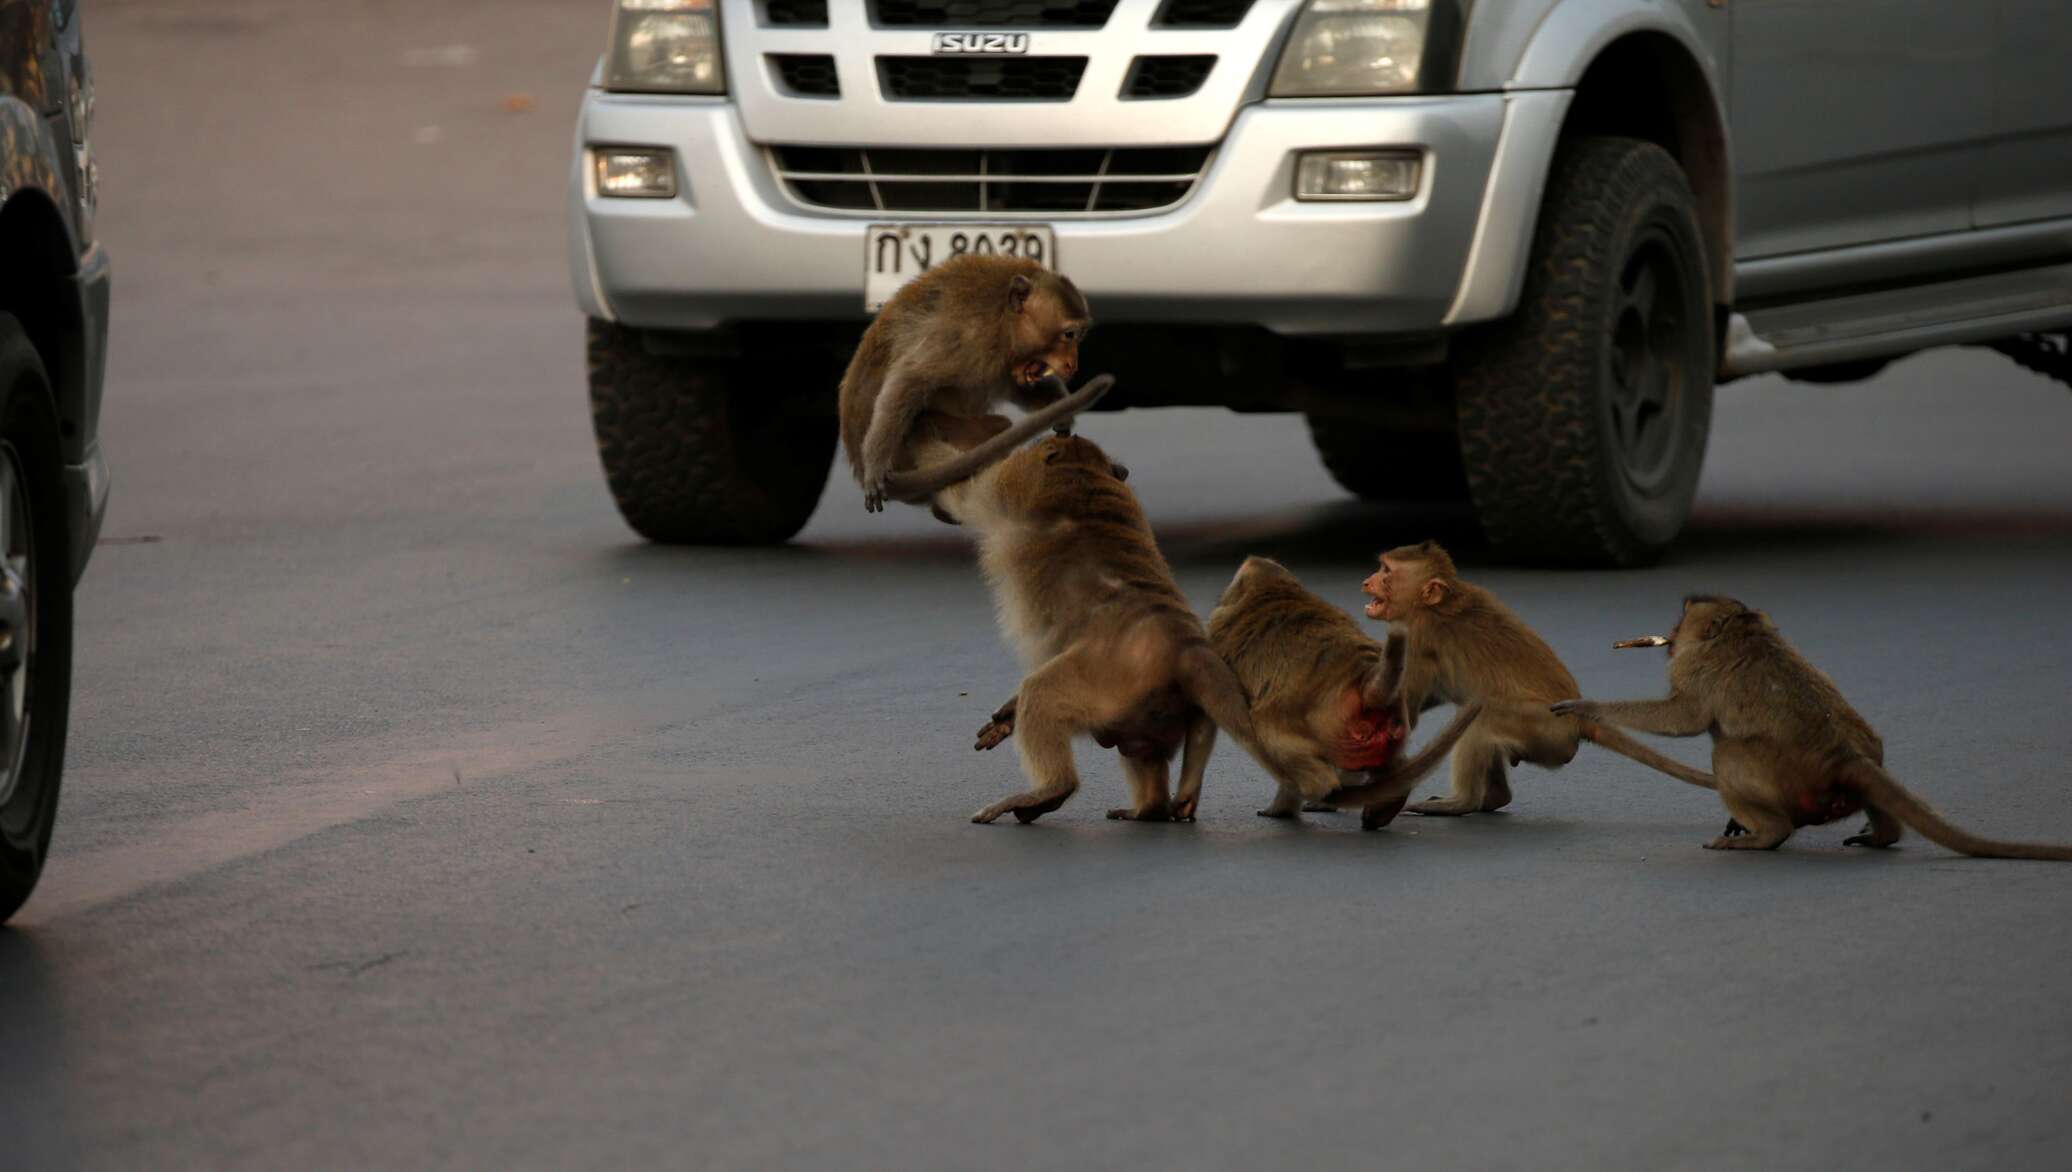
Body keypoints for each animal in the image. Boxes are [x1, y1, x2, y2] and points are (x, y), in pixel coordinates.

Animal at [837, 254, 1110, 511]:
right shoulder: (966, 337)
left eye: (1078, 336)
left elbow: (1013, 386)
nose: (1073, 364)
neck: (1003, 318)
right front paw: (875, 467)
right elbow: (910, 378)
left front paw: (1060, 410)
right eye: (1068, 335)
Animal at [944, 432, 1259, 828]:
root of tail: (1186, 645)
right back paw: (1150, 808)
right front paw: (1007, 715)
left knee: (1042, 692)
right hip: (1155, 706)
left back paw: (1052, 788)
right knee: (1148, 746)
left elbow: (961, 494)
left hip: (1105, 679)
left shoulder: (1008, 483)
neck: (1083, 468)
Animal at [1201, 559, 1491, 828]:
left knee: (1268, 732)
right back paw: (1386, 800)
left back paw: (1301, 798)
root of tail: (1365, 679)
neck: (1273, 592)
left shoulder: (1216, 630)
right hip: (1390, 723)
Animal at [1359, 546, 1715, 832]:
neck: (1436, 604)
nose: (1366, 581)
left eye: (1386, 571)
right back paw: (1494, 798)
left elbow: (1407, 712)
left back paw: (1462, 803)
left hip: (1544, 731)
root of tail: (1578, 719)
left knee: (1484, 716)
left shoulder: (1417, 636)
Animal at [1558, 596, 2072, 865]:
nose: (1668, 632)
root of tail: (1843, 757)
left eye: (1684, 618)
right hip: (1861, 763)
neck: (1742, 633)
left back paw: (1768, 834)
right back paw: (1884, 834)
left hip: (1794, 783)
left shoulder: (1695, 672)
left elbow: (1683, 720)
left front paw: (1590, 708)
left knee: (1727, 756)